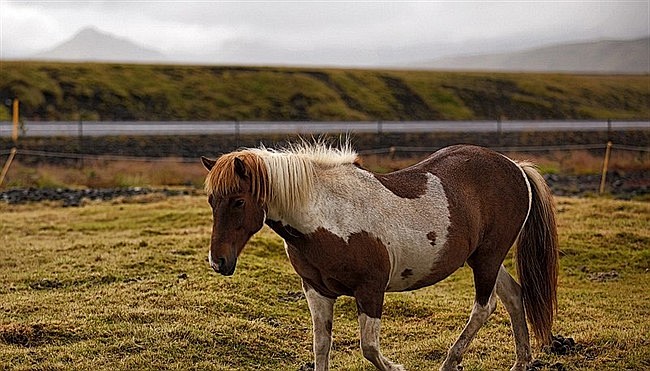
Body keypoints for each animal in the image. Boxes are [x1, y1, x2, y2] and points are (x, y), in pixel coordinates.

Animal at [200, 142, 556, 371]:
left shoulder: (371, 290)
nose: (219, 262)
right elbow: (321, 346)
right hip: (484, 259)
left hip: (488, 258)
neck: (329, 217)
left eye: (238, 201)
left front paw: (397, 366)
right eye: (211, 200)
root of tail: (515, 167)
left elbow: (369, 349)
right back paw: (521, 362)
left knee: (485, 307)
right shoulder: (316, 291)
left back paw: (451, 362)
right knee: (514, 295)